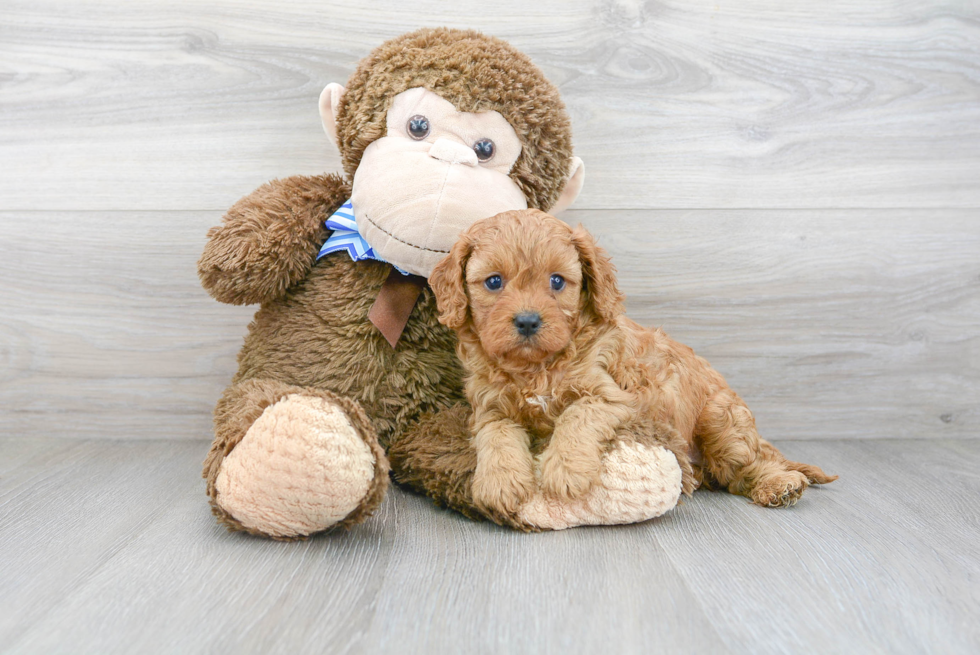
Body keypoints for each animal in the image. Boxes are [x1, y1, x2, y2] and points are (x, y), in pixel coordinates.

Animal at [428, 210, 836, 516]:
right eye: (494, 282)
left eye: (557, 281)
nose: (528, 321)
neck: (537, 368)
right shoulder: (489, 409)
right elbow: (496, 438)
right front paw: (500, 483)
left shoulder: (610, 396)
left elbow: (576, 417)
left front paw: (564, 471)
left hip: (721, 422)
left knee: (745, 467)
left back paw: (779, 484)